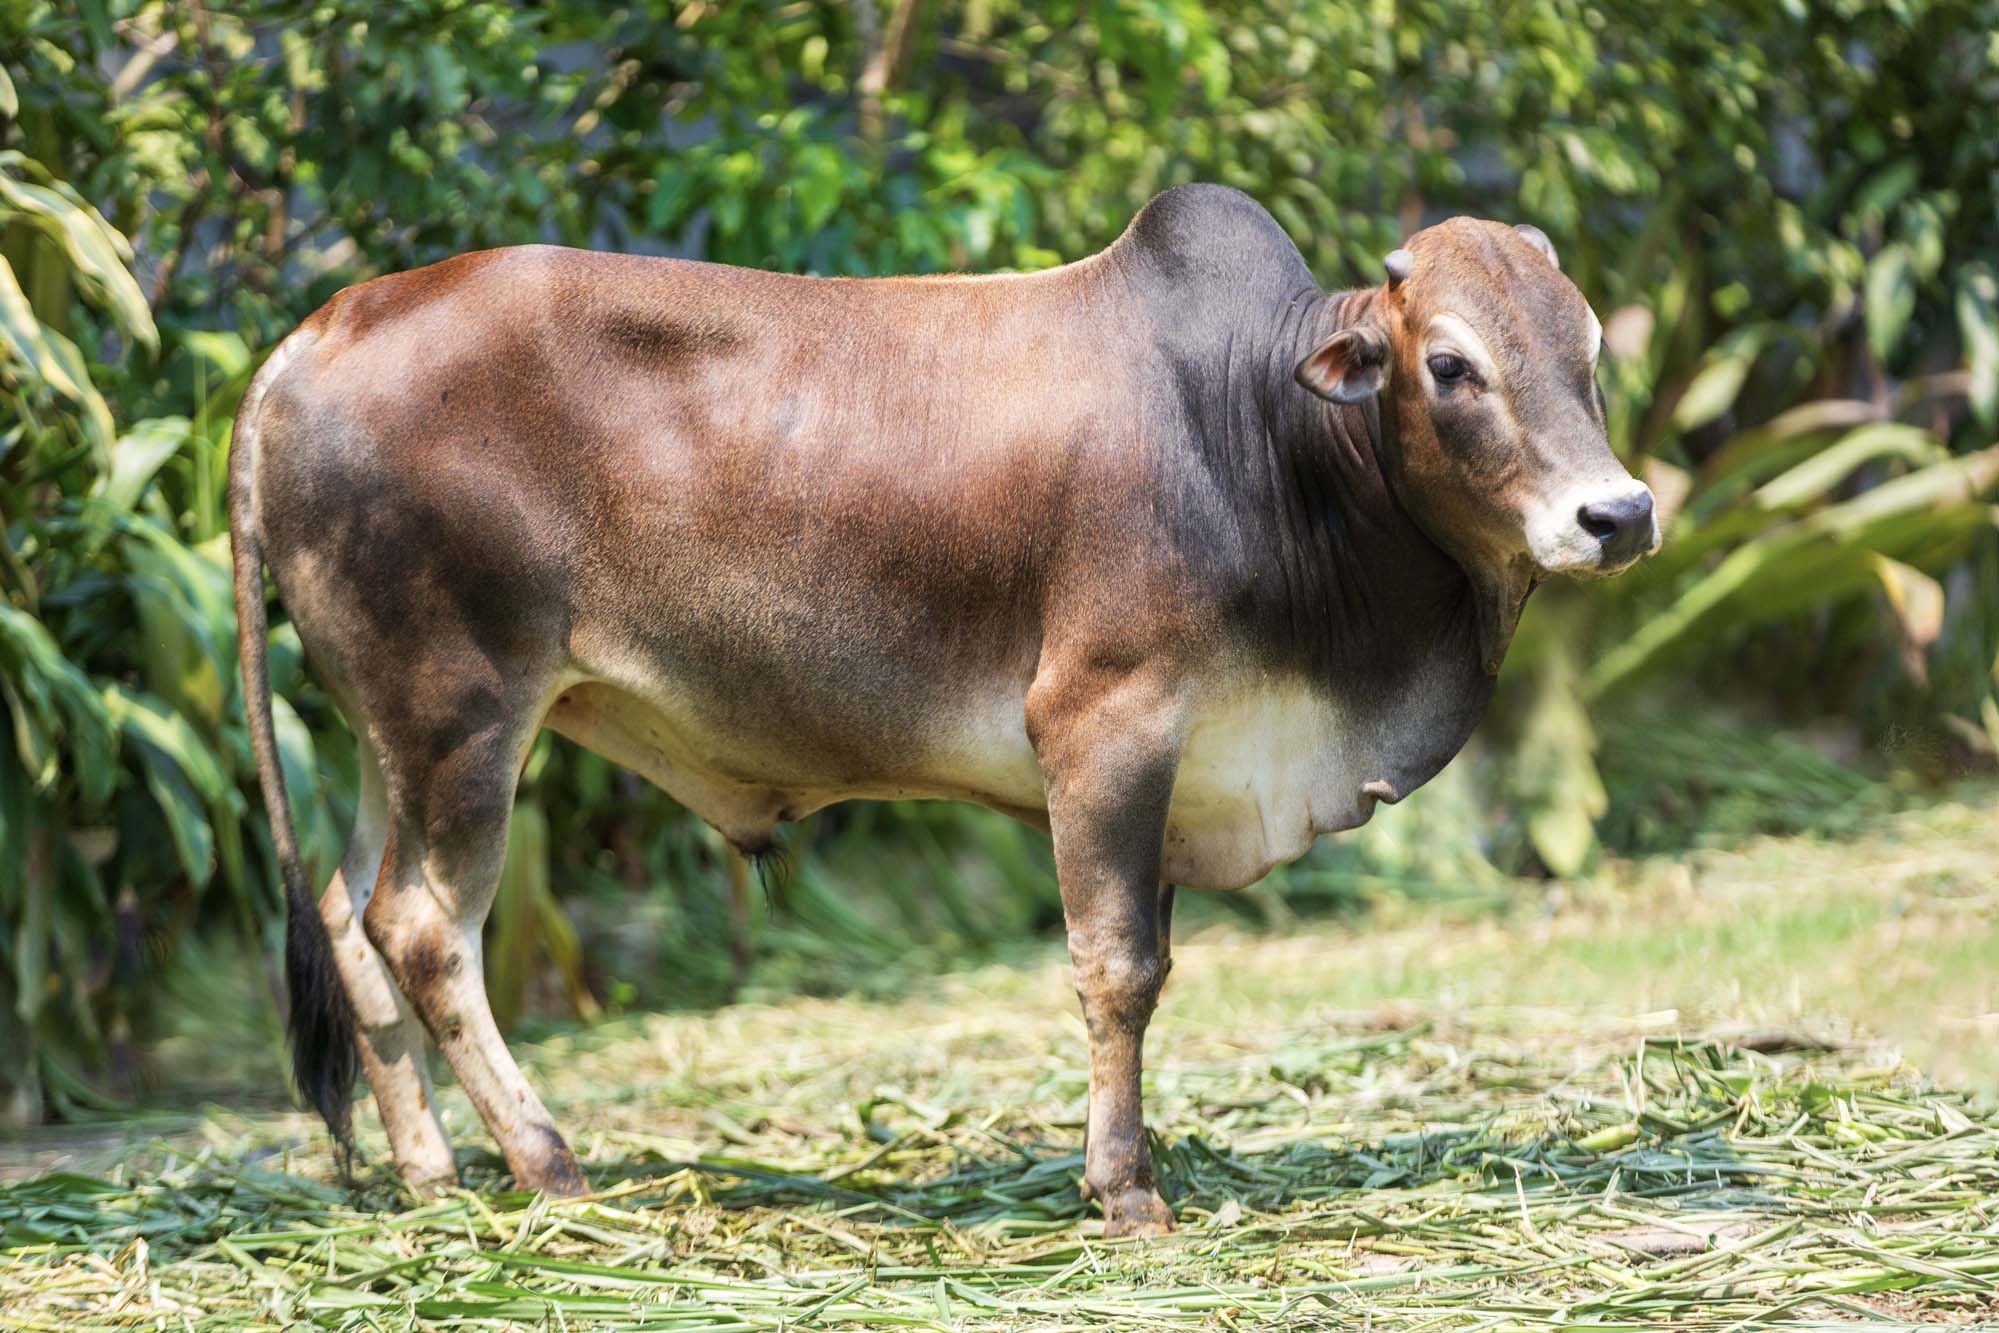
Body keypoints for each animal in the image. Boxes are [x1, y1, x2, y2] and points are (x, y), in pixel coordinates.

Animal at [229, 184, 1657, 1236]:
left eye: (1588, 346)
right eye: (1451, 365)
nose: (1620, 513)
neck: (1258, 434)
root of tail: (314, 333)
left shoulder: (1179, 763)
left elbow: (1150, 967)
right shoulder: (1103, 723)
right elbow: (1119, 968)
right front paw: (1126, 1195)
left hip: (385, 734)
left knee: (352, 917)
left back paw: (430, 1173)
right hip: (466, 710)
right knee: (427, 929)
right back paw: (549, 1164)